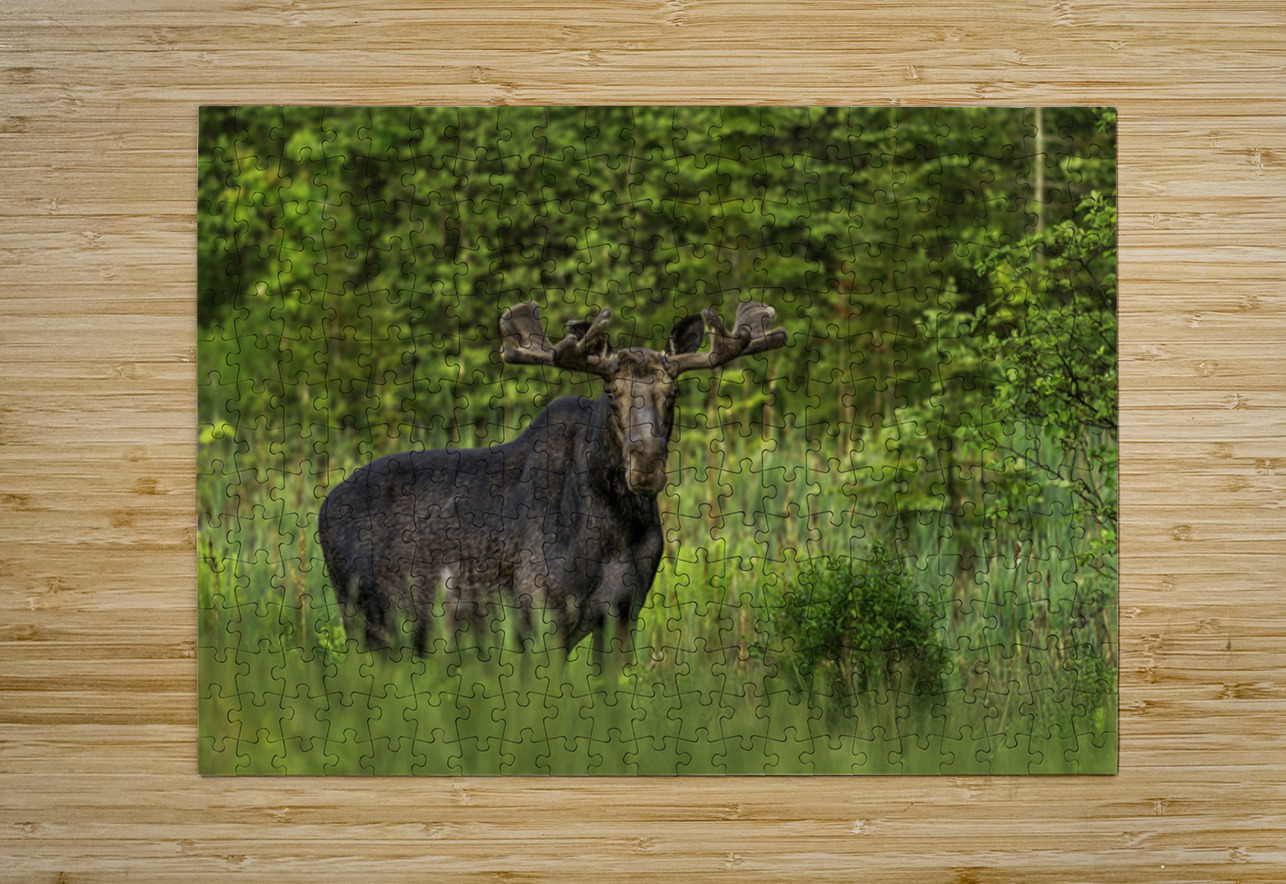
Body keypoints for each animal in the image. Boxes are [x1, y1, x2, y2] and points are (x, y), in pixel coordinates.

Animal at [317, 300, 788, 660]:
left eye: (673, 393)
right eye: (611, 393)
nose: (647, 461)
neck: (616, 529)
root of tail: (322, 509)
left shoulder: (622, 617)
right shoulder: (537, 617)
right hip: (366, 622)